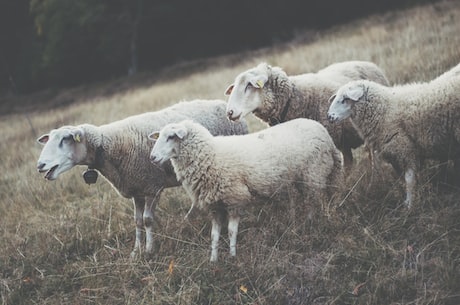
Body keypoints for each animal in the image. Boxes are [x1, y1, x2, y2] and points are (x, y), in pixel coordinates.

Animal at [36, 99, 248, 256]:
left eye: (66, 139)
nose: (40, 166)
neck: (110, 146)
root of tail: (223, 103)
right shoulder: (136, 189)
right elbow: (137, 221)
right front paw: (136, 251)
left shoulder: (152, 187)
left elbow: (147, 220)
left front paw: (149, 250)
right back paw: (189, 218)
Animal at [147, 117, 342, 260]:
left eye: (171, 137)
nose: (152, 157)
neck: (211, 154)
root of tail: (325, 134)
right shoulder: (215, 205)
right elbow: (214, 235)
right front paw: (213, 260)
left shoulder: (235, 199)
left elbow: (231, 231)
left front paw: (233, 256)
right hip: (302, 179)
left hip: (313, 174)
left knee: (314, 203)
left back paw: (312, 225)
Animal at [328, 63, 460, 208]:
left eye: (345, 99)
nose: (329, 116)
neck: (385, 108)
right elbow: (403, 178)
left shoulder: (406, 148)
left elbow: (409, 179)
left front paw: (409, 205)